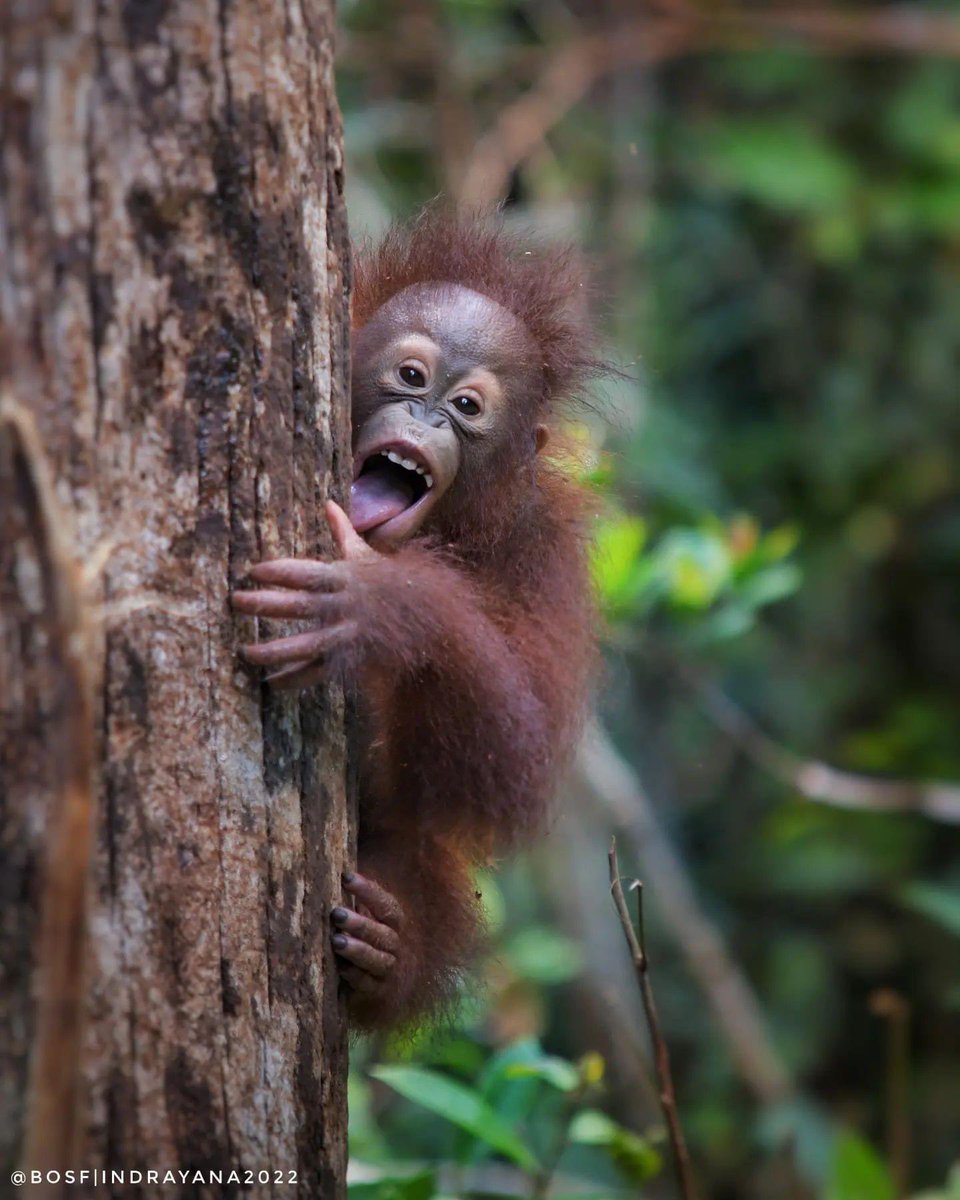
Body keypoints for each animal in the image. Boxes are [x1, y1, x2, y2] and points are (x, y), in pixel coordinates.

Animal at [231, 212, 598, 1030]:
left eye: (466, 409)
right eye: (410, 377)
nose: (425, 418)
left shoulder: (544, 553)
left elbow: (508, 758)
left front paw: (379, 603)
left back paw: (384, 953)